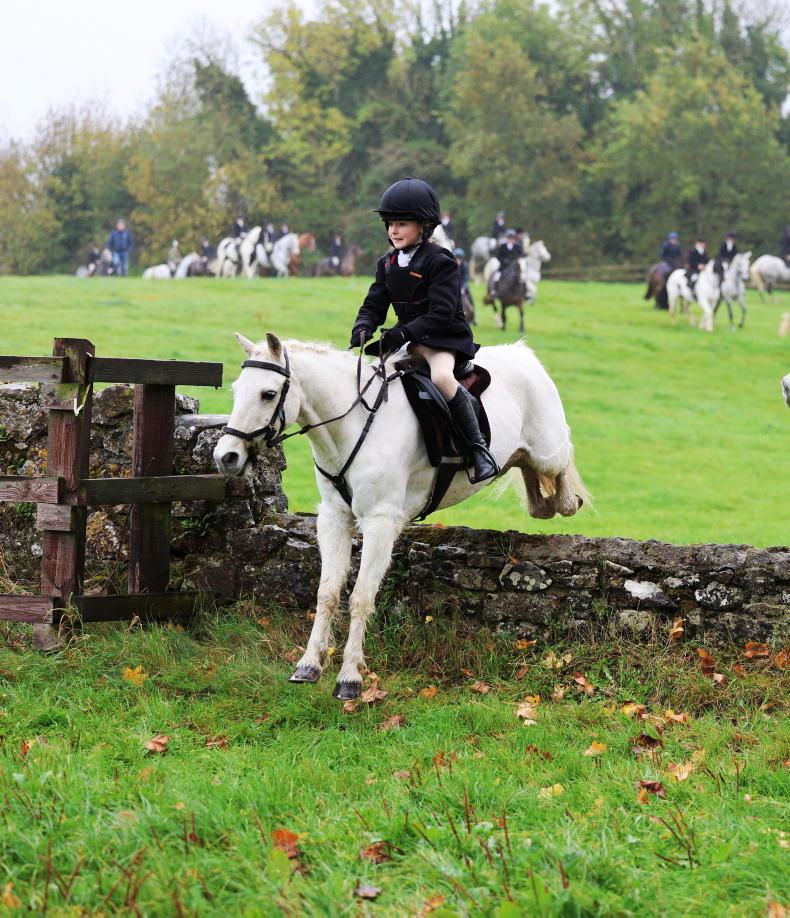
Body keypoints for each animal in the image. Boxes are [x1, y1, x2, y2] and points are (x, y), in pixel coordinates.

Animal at [214, 333, 586, 700]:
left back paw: (565, 496)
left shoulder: (381, 522)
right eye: (236, 389)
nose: (225, 457)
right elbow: (327, 593)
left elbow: (361, 597)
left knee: (562, 480)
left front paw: (349, 678)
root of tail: (522, 354)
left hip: (548, 451)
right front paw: (308, 665)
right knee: (532, 483)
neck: (353, 427)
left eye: (268, 394)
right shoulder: (334, 518)